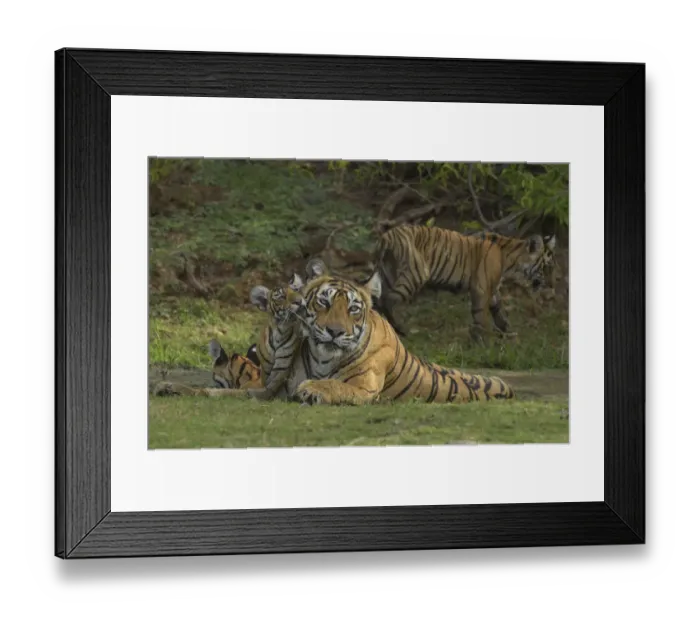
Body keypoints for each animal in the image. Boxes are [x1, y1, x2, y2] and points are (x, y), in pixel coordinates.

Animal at [288, 258, 515, 406]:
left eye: (353, 309)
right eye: (324, 302)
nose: (335, 332)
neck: (323, 359)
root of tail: (508, 386)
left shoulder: (364, 387)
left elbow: (334, 384)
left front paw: (311, 389)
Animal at [371, 224, 556, 338]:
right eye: (546, 267)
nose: (551, 286)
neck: (511, 261)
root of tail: (387, 236)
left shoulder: (492, 288)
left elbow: (498, 309)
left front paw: (507, 330)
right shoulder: (482, 288)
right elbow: (480, 314)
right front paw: (483, 340)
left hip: (388, 274)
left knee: (377, 302)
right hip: (416, 273)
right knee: (389, 300)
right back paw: (400, 329)